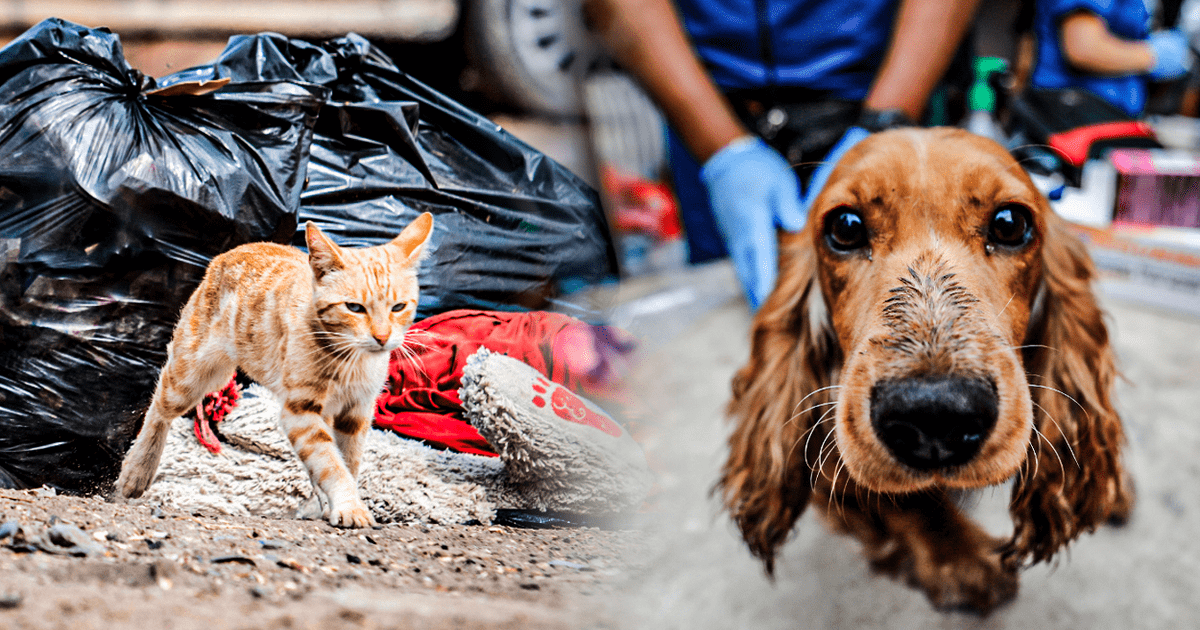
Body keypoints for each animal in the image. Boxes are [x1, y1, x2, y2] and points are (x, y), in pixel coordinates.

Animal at [114, 213, 434, 528]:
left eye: (398, 307)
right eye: (354, 308)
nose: (382, 337)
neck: (352, 360)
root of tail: (237, 249)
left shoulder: (356, 411)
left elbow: (346, 460)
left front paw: (331, 504)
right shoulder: (300, 410)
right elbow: (330, 462)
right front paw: (349, 505)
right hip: (194, 371)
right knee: (159, 404)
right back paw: (137, 470)